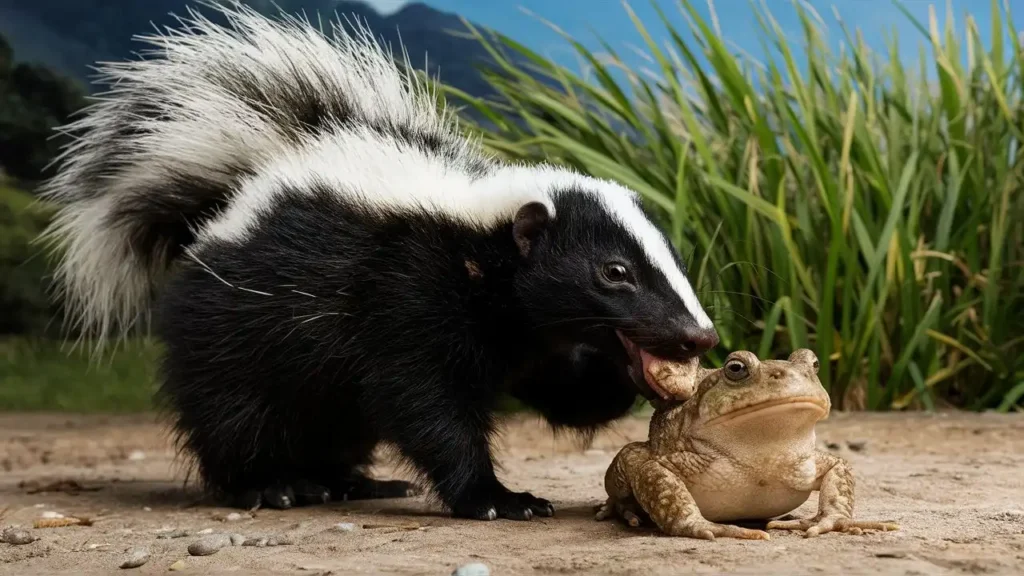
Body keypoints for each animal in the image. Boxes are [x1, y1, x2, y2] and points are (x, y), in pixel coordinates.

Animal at [36, 1, 716, 520]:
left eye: (673, 264)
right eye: (614, 273)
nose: (699, 336)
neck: (479, 243)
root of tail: (245, 181)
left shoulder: (526, 339)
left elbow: (567, 397)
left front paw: (634, 377)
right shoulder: (405, 296)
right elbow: (426, 406)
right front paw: (498, 498)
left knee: (331, 422)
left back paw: (350, 481)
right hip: (230, 326)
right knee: (233, 411)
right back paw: (271, 485)